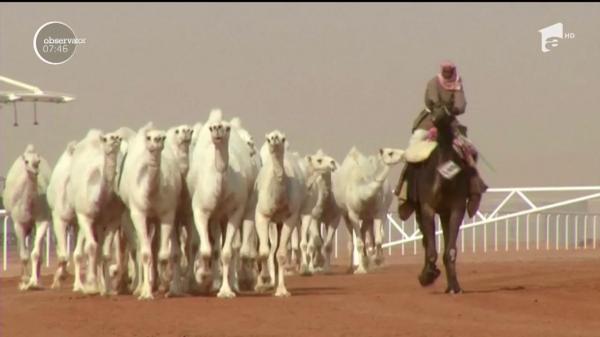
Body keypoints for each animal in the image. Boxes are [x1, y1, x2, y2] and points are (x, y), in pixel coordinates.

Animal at [3, 144, 51, 288]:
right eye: (26, 161)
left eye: (38, 161)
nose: (34, 171)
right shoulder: (18, 223)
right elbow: (24, 255)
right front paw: (25, 281)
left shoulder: (42, 220)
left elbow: (36, 253)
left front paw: (34, 282)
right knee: (21, 247)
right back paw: (23, 277)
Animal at [188, 109, 253, 296]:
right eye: (212, 128)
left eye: (228, 128)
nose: (217, 129)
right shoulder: (200, 210)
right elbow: (206, 249)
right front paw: (202, 275)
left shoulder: (235, 211)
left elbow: (227, 252)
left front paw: (226, 291)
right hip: (215, 216)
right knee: (214, 246)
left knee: (230, 247)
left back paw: (232, 283)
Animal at [254, 130, 308, 296]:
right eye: (268, 138)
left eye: (283, 138)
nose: (275, 139)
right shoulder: (262, 215)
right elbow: (264, 251)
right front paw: (263, 282)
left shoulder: (290, 218)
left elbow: (281, 254)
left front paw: (282, 290)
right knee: (269, 249)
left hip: (279, 222)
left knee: (276, 250)